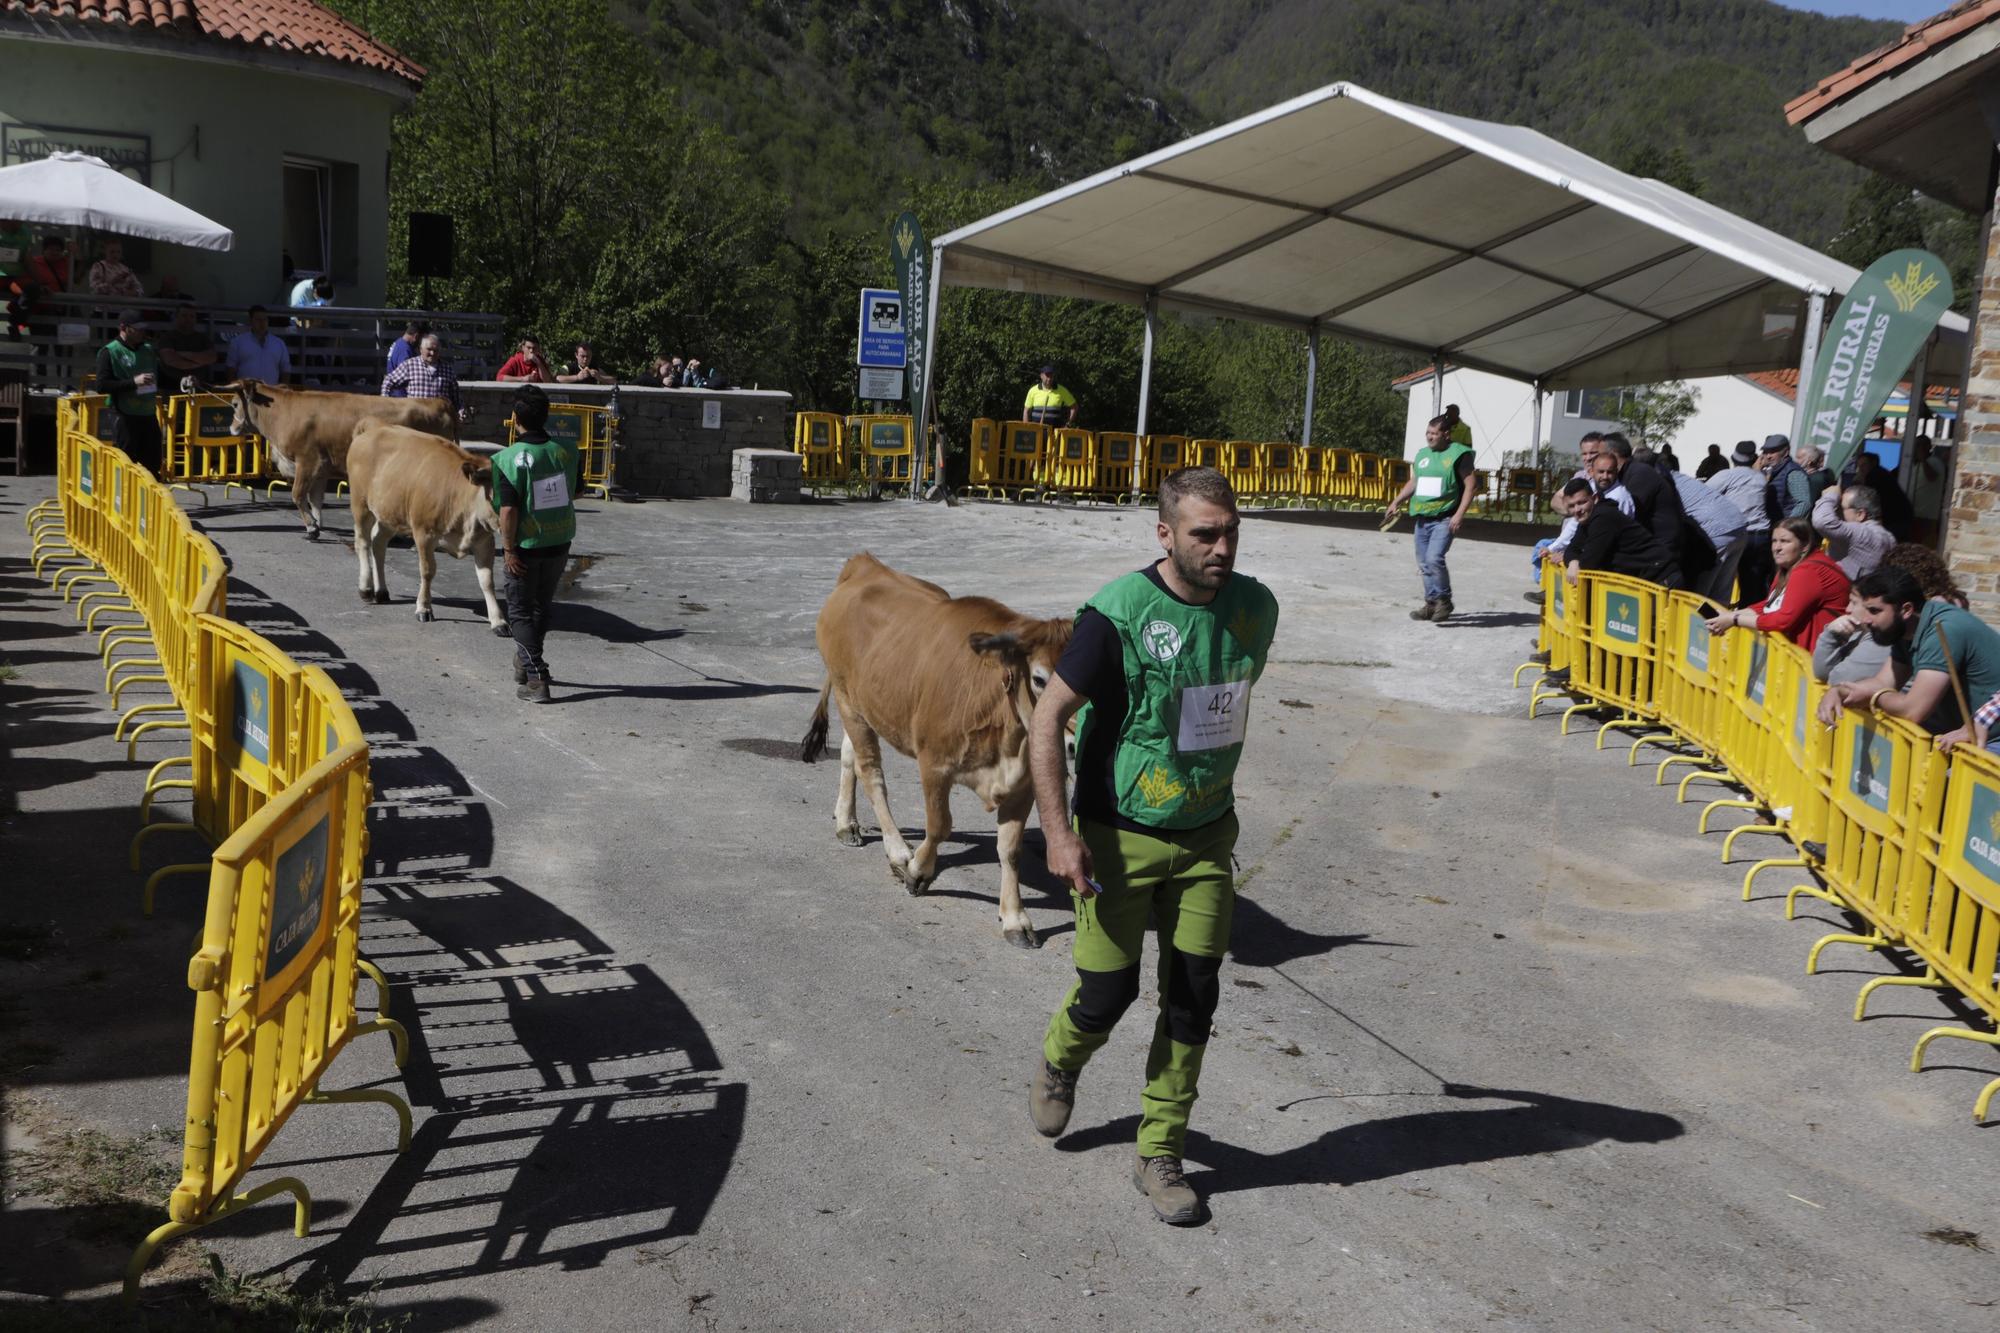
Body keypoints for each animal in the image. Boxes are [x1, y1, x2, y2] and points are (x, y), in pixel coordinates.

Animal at [232, 376, 458, 536]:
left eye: (234, 404)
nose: (232, 427)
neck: (285, 410)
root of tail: (439, 401)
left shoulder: (307, 461)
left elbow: (298, 495)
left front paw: (311, 527)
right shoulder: (321, 468)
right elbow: (316, 499)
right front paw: (317, 525)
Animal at [344, 418, 504, 632]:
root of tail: (376, 425)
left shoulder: (484, 540)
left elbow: (487, 580)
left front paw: (498, 620)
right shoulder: (424, 533)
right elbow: (427, 571)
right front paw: (424, 608)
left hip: (390, 512)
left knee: (378, 543)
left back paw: (382, 591)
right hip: (361, 504)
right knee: (362, 542)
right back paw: (366, 588)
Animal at [800, 548, 1072, 944]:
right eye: (1039, 679)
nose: (1069, 743)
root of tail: (865, 565)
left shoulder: (1025, 784)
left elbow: (1010, 850)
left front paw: (1015, 917)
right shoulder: (934, 764)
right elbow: (940, 825)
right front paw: (918, 871)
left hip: (862, 704)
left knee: (850, 756)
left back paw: (847, 822)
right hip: (848, 701)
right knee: (870, 771)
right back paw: (897, 851)